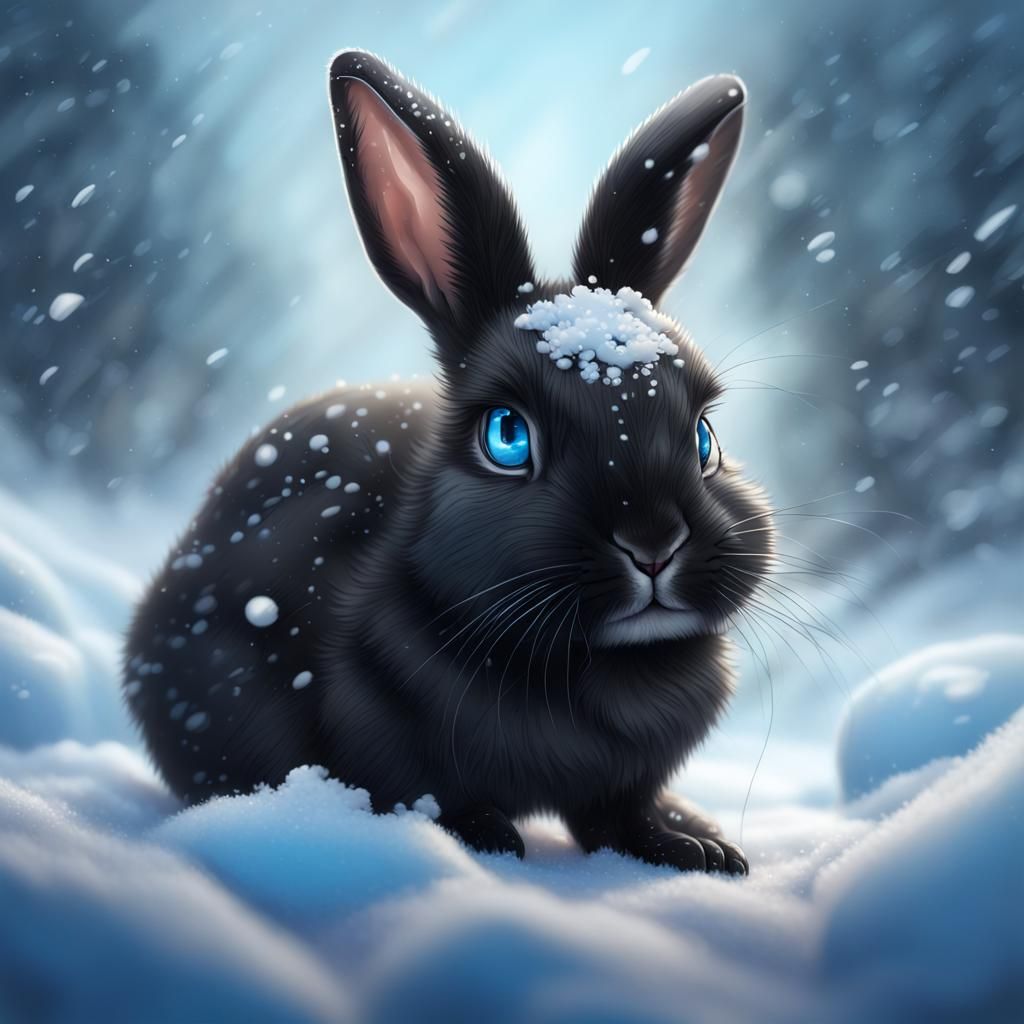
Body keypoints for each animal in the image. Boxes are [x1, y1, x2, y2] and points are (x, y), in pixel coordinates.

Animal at [124, 49, 774, 875]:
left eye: (704, 439)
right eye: (506, 437)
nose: (654, 544)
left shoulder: (623, 786)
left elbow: (619, 817)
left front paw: (695, 847)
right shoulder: (380, 743)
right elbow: (424, 793)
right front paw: (485, 837)